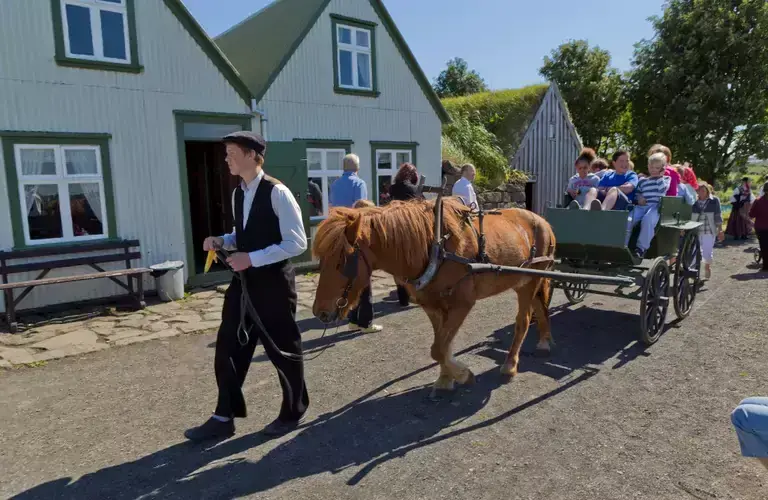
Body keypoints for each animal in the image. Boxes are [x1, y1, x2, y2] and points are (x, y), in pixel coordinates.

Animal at [312, 196, 560, 394]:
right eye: (321, 260)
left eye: (343, 260)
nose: (320, 312)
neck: (436, 248)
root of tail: (543, 221)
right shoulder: (432, 306)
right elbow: (440, 346)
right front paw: (445, 378)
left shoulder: (462, 304)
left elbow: (440, 347)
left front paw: (463, 375)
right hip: (527, 282)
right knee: (540, 307)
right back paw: (544, 341)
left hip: (530, 281)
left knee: (523, 320)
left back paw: (510, 364)